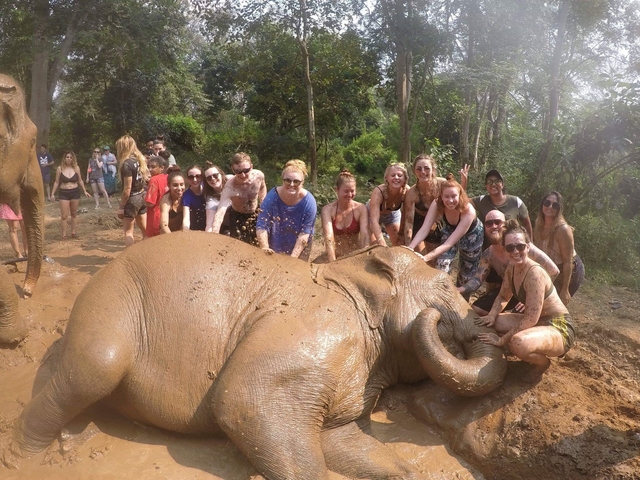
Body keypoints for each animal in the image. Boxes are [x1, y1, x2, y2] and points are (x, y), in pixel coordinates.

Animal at [4, 233, 507, 479]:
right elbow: (245, 401)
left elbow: (340, 440)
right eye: (444, 289)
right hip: (110, 301)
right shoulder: (313, 329)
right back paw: (22, 459)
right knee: (97, 366)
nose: (442, 319)